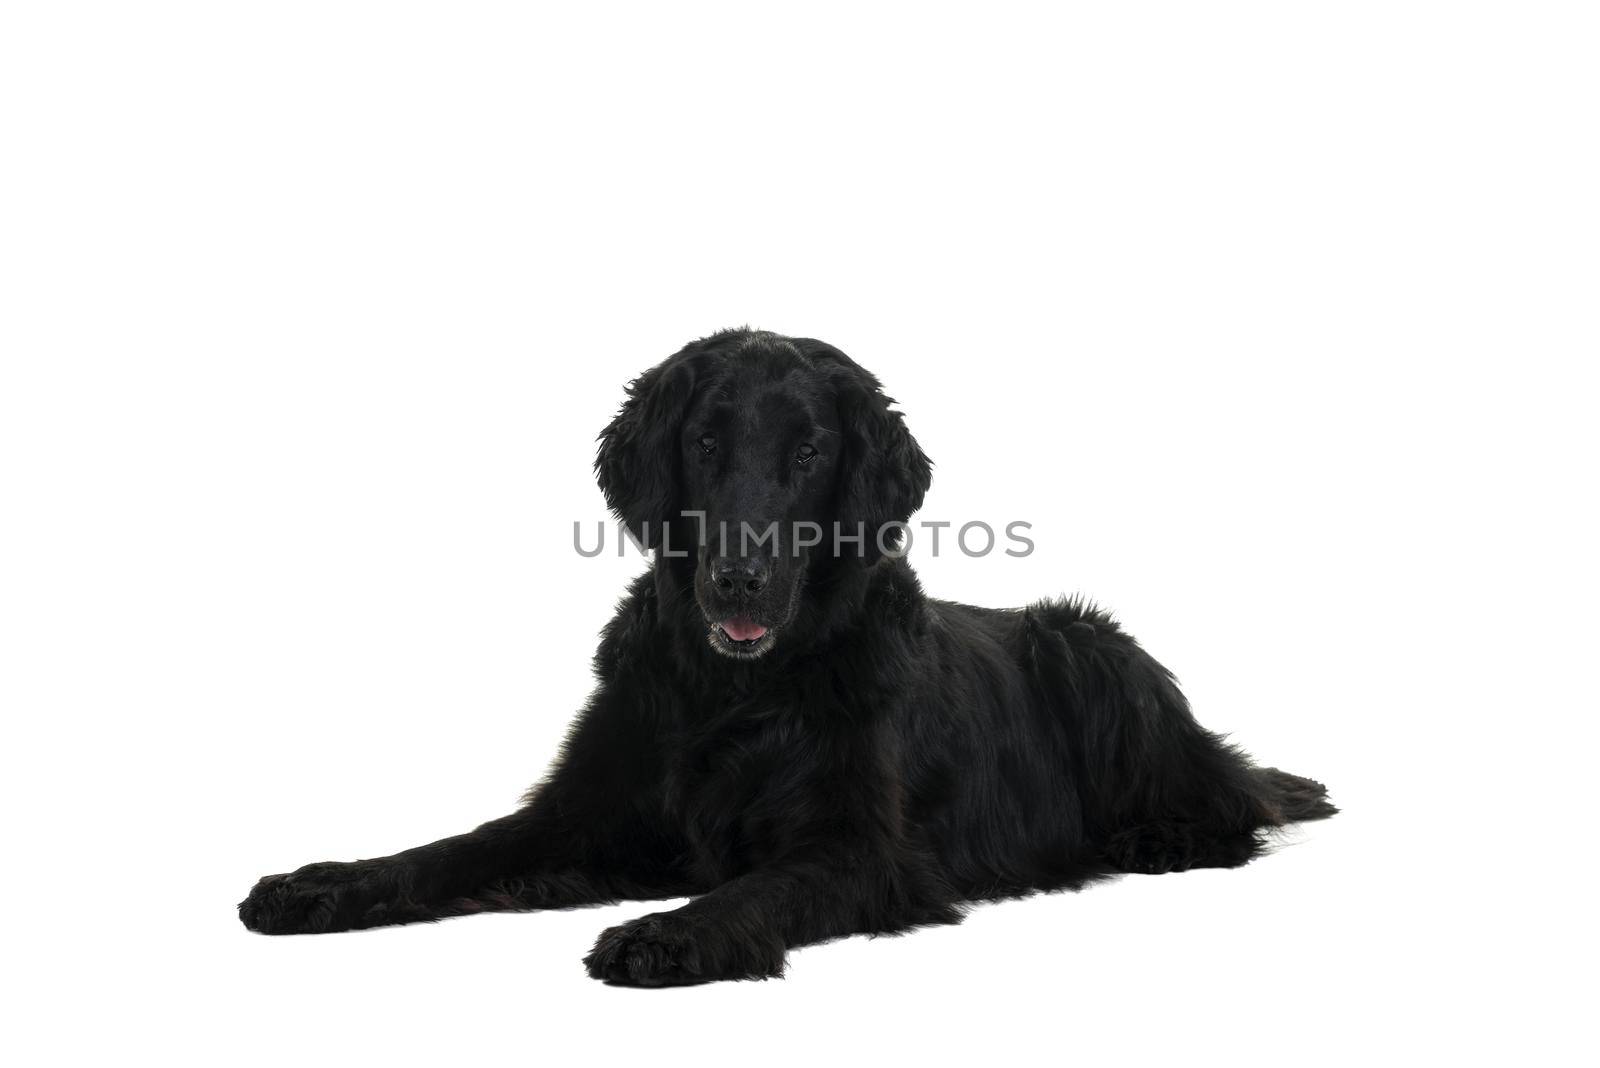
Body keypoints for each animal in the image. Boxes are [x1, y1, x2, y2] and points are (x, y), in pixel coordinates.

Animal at [240, 329, 1337, 991]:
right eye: (704, 444)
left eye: (809, 453)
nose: (738, 581)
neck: (730, 690)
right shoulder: (585, 814)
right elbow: (448, 852)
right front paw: (317, 884)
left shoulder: (862, 848)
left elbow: (756, 889)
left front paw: (667, 933)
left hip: (1088, 643)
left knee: (1234, 802)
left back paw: (1156, 837)